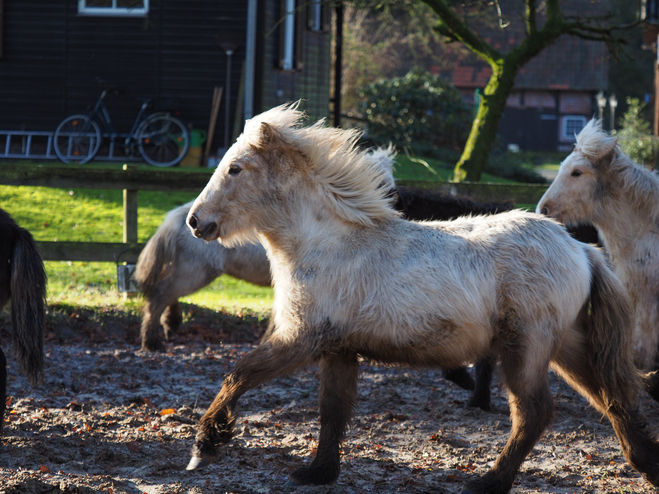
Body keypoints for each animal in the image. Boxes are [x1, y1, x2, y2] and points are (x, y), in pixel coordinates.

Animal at [182, 104, 659, 494]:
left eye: (235, 168)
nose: (195, 221)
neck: (326, 242)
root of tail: (582, 249)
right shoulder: (338, 348)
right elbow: (332, 412)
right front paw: (317, 472)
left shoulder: (302, 340)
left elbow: (240, 373)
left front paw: (206, 444)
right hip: (567, 347)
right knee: (612, 396)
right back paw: (646, 464)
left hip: (527, 348)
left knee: (535, 413)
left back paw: (488, 482)